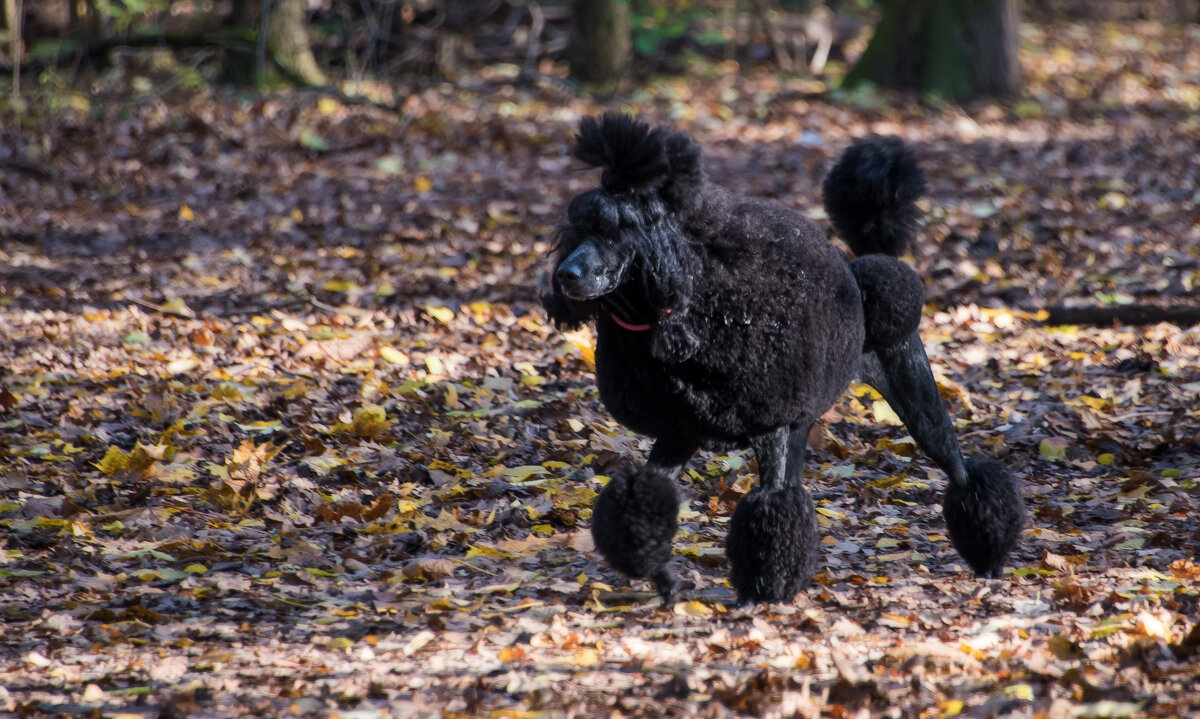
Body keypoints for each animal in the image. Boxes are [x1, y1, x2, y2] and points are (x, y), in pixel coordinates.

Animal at [544, 114, 1022, 607]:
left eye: (615, 230)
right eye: (577, 228)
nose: (565, 275)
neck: (691, 300)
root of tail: (863, 272)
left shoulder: (766, 425)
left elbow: (772, 509)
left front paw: (761, 590)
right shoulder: (680, 431)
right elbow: (641, 502)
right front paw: (664, 580)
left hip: (910, 390)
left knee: (957, 469)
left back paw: (989, 556)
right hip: (799, 422)